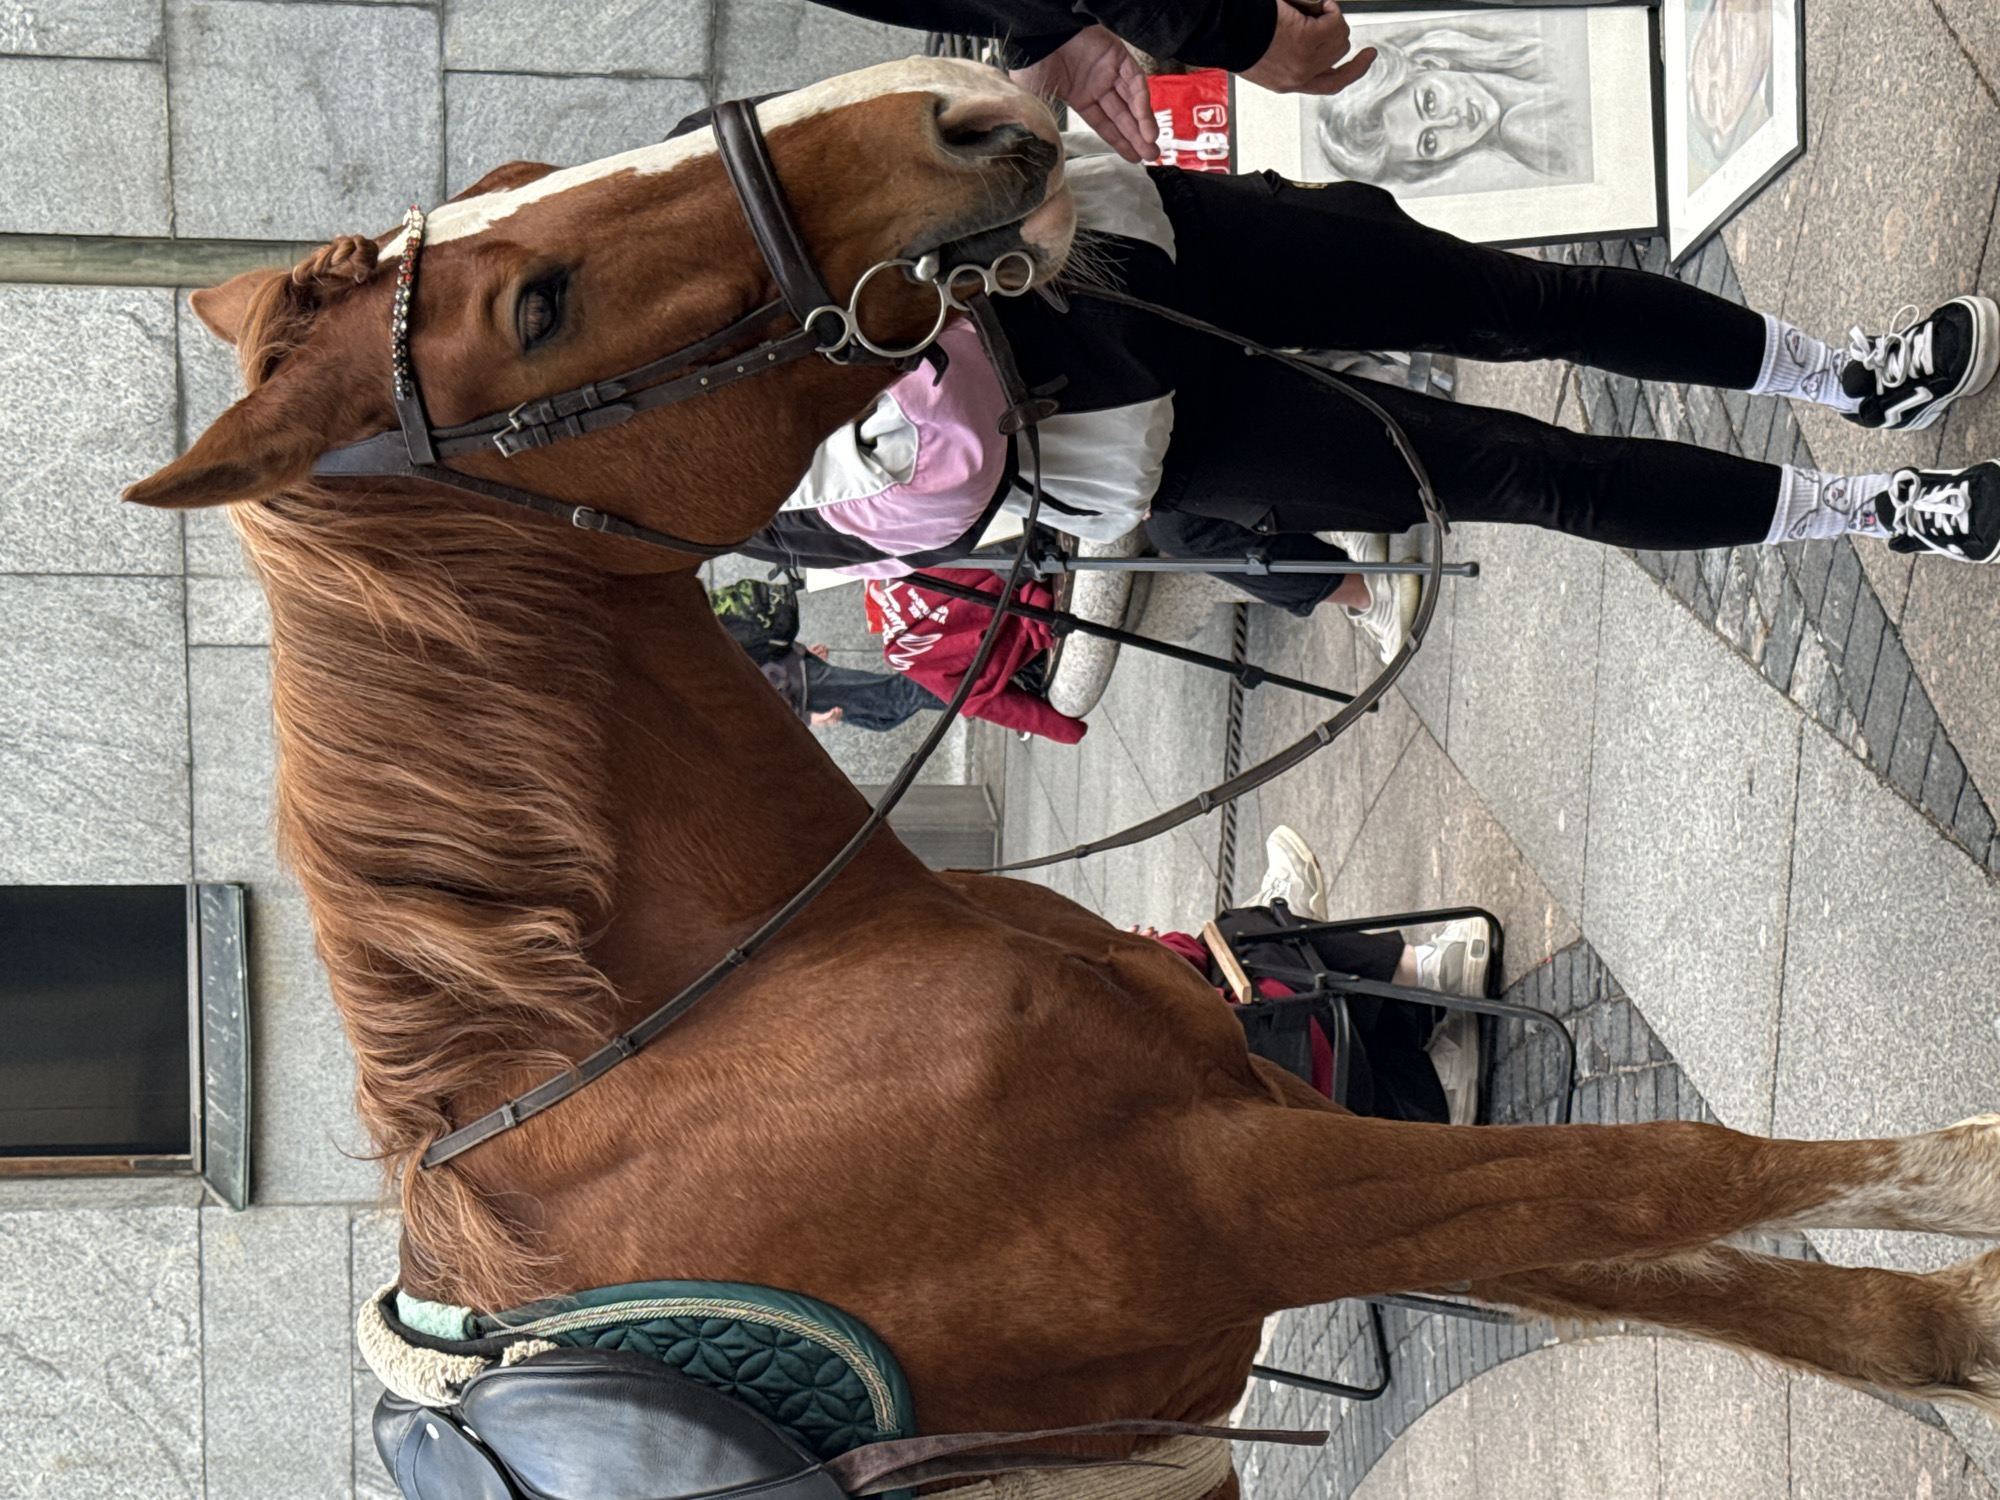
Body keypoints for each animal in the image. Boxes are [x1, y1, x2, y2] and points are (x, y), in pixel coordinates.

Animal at [124, 57, 2000, 1493]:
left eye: (522, 193)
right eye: (539, 303)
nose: (961, 109)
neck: (753, 1007)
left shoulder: (1261, 1114)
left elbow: (1719, 1288)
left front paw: (1956, 1330)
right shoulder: (1245, 1198)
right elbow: (1672, 1177)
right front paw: (1979, 1190)